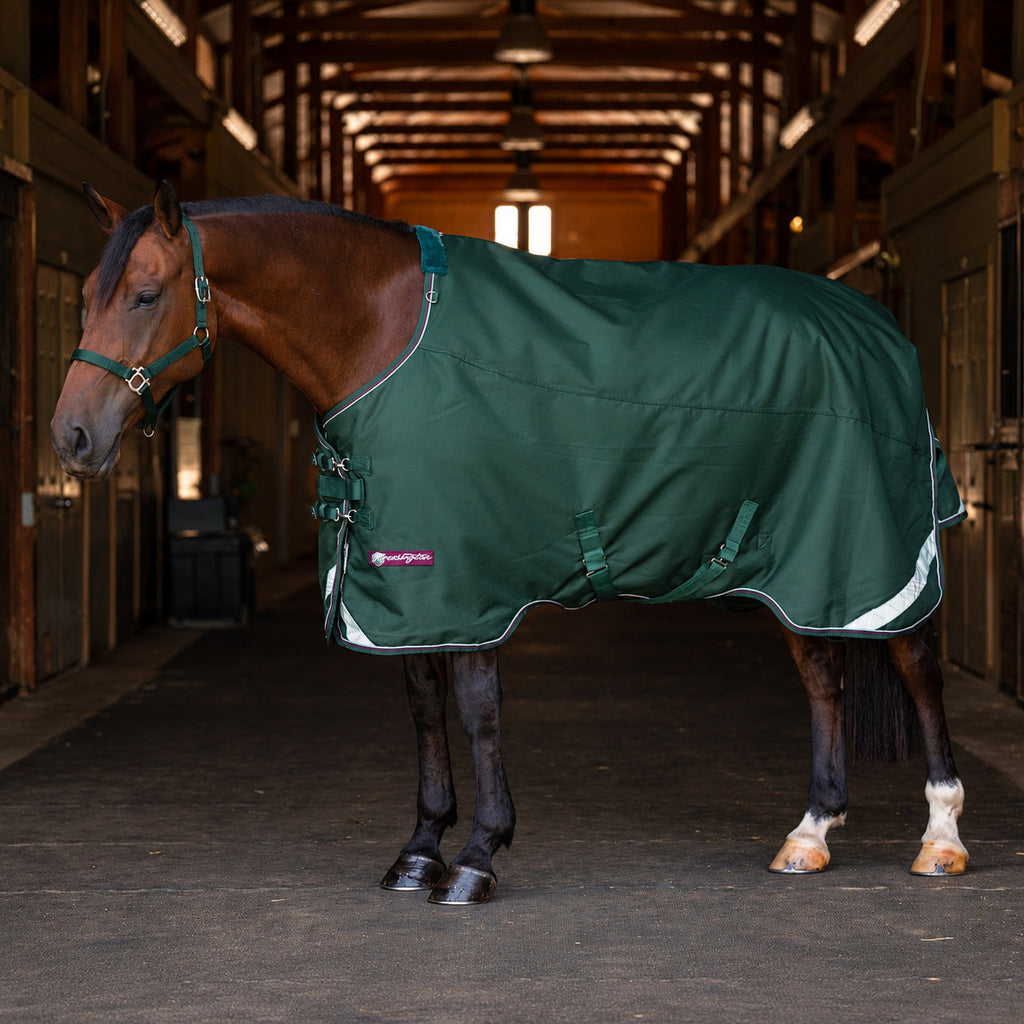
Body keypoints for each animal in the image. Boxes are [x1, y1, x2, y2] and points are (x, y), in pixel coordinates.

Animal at [51, 181, 969, 906]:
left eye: (144, 293)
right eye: (88, 293)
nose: (71, 437)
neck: (385, 333)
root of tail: (876, 322)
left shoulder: (467, 576)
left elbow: (478, 712)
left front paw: (476, 860)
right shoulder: (403, 585)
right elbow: (425, 711)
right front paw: (418, 854)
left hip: (874, 550)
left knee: (916, 669)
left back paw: (940, 840)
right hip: (802, 563)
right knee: (823, 676)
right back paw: (809, 836)